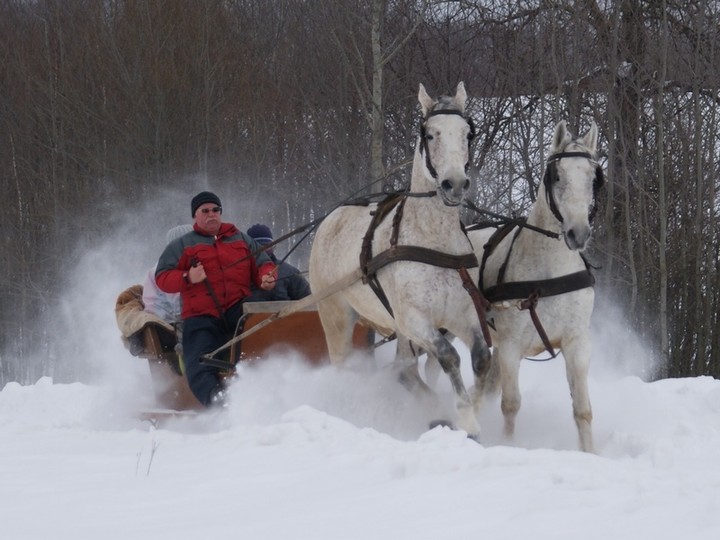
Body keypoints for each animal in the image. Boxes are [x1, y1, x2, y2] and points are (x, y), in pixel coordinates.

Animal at [306, 83, 492, 438]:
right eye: (430, 134)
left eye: (467, 133)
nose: (455, 184)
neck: (433, 240)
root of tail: (329, 219)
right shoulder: (414, 319)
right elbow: (449, 357)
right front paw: (463, 416)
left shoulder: (462, 314)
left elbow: (481, 359)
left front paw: (473, 416)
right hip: (336, 315)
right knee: (347, 367)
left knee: (405, 371)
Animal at [466, 121, 600, 452]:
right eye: (557, 176)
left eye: (593, 178)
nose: (578, 234)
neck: (550, 274)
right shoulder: (511, 346)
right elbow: (511, 404)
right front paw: (509, 445)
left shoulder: (577, 343)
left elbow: (582, 409)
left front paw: (591, 454)